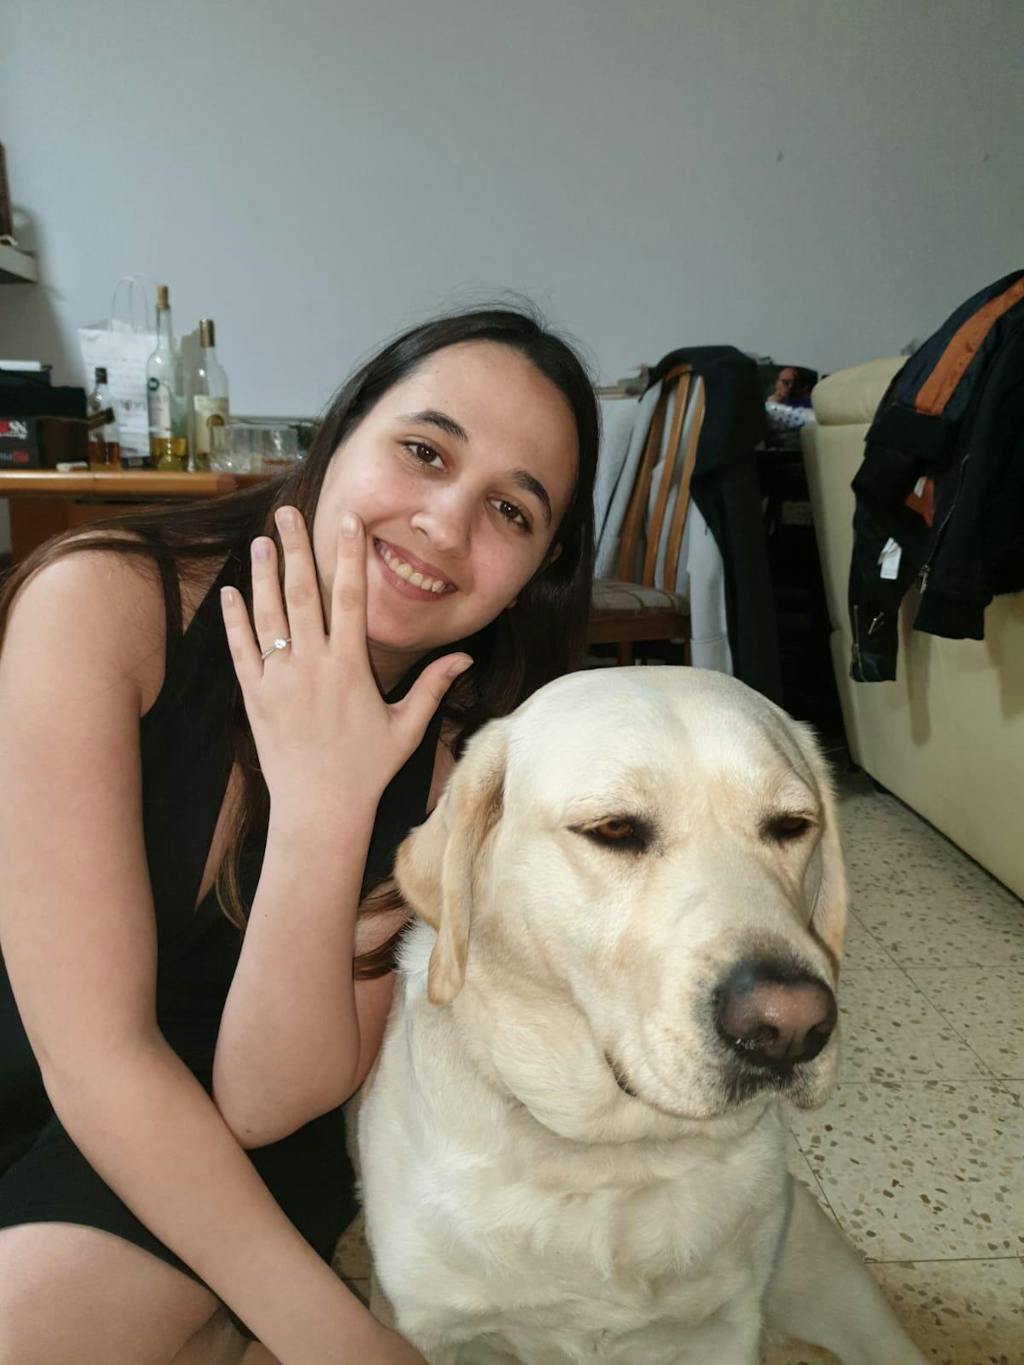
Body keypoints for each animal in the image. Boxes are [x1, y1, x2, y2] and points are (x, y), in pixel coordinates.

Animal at [358, 668, 927, 1364]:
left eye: (792, 825)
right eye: (614, 830)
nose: (789, 1028)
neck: (614, 1157)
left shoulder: (724, 1329)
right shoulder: (427, 1331)